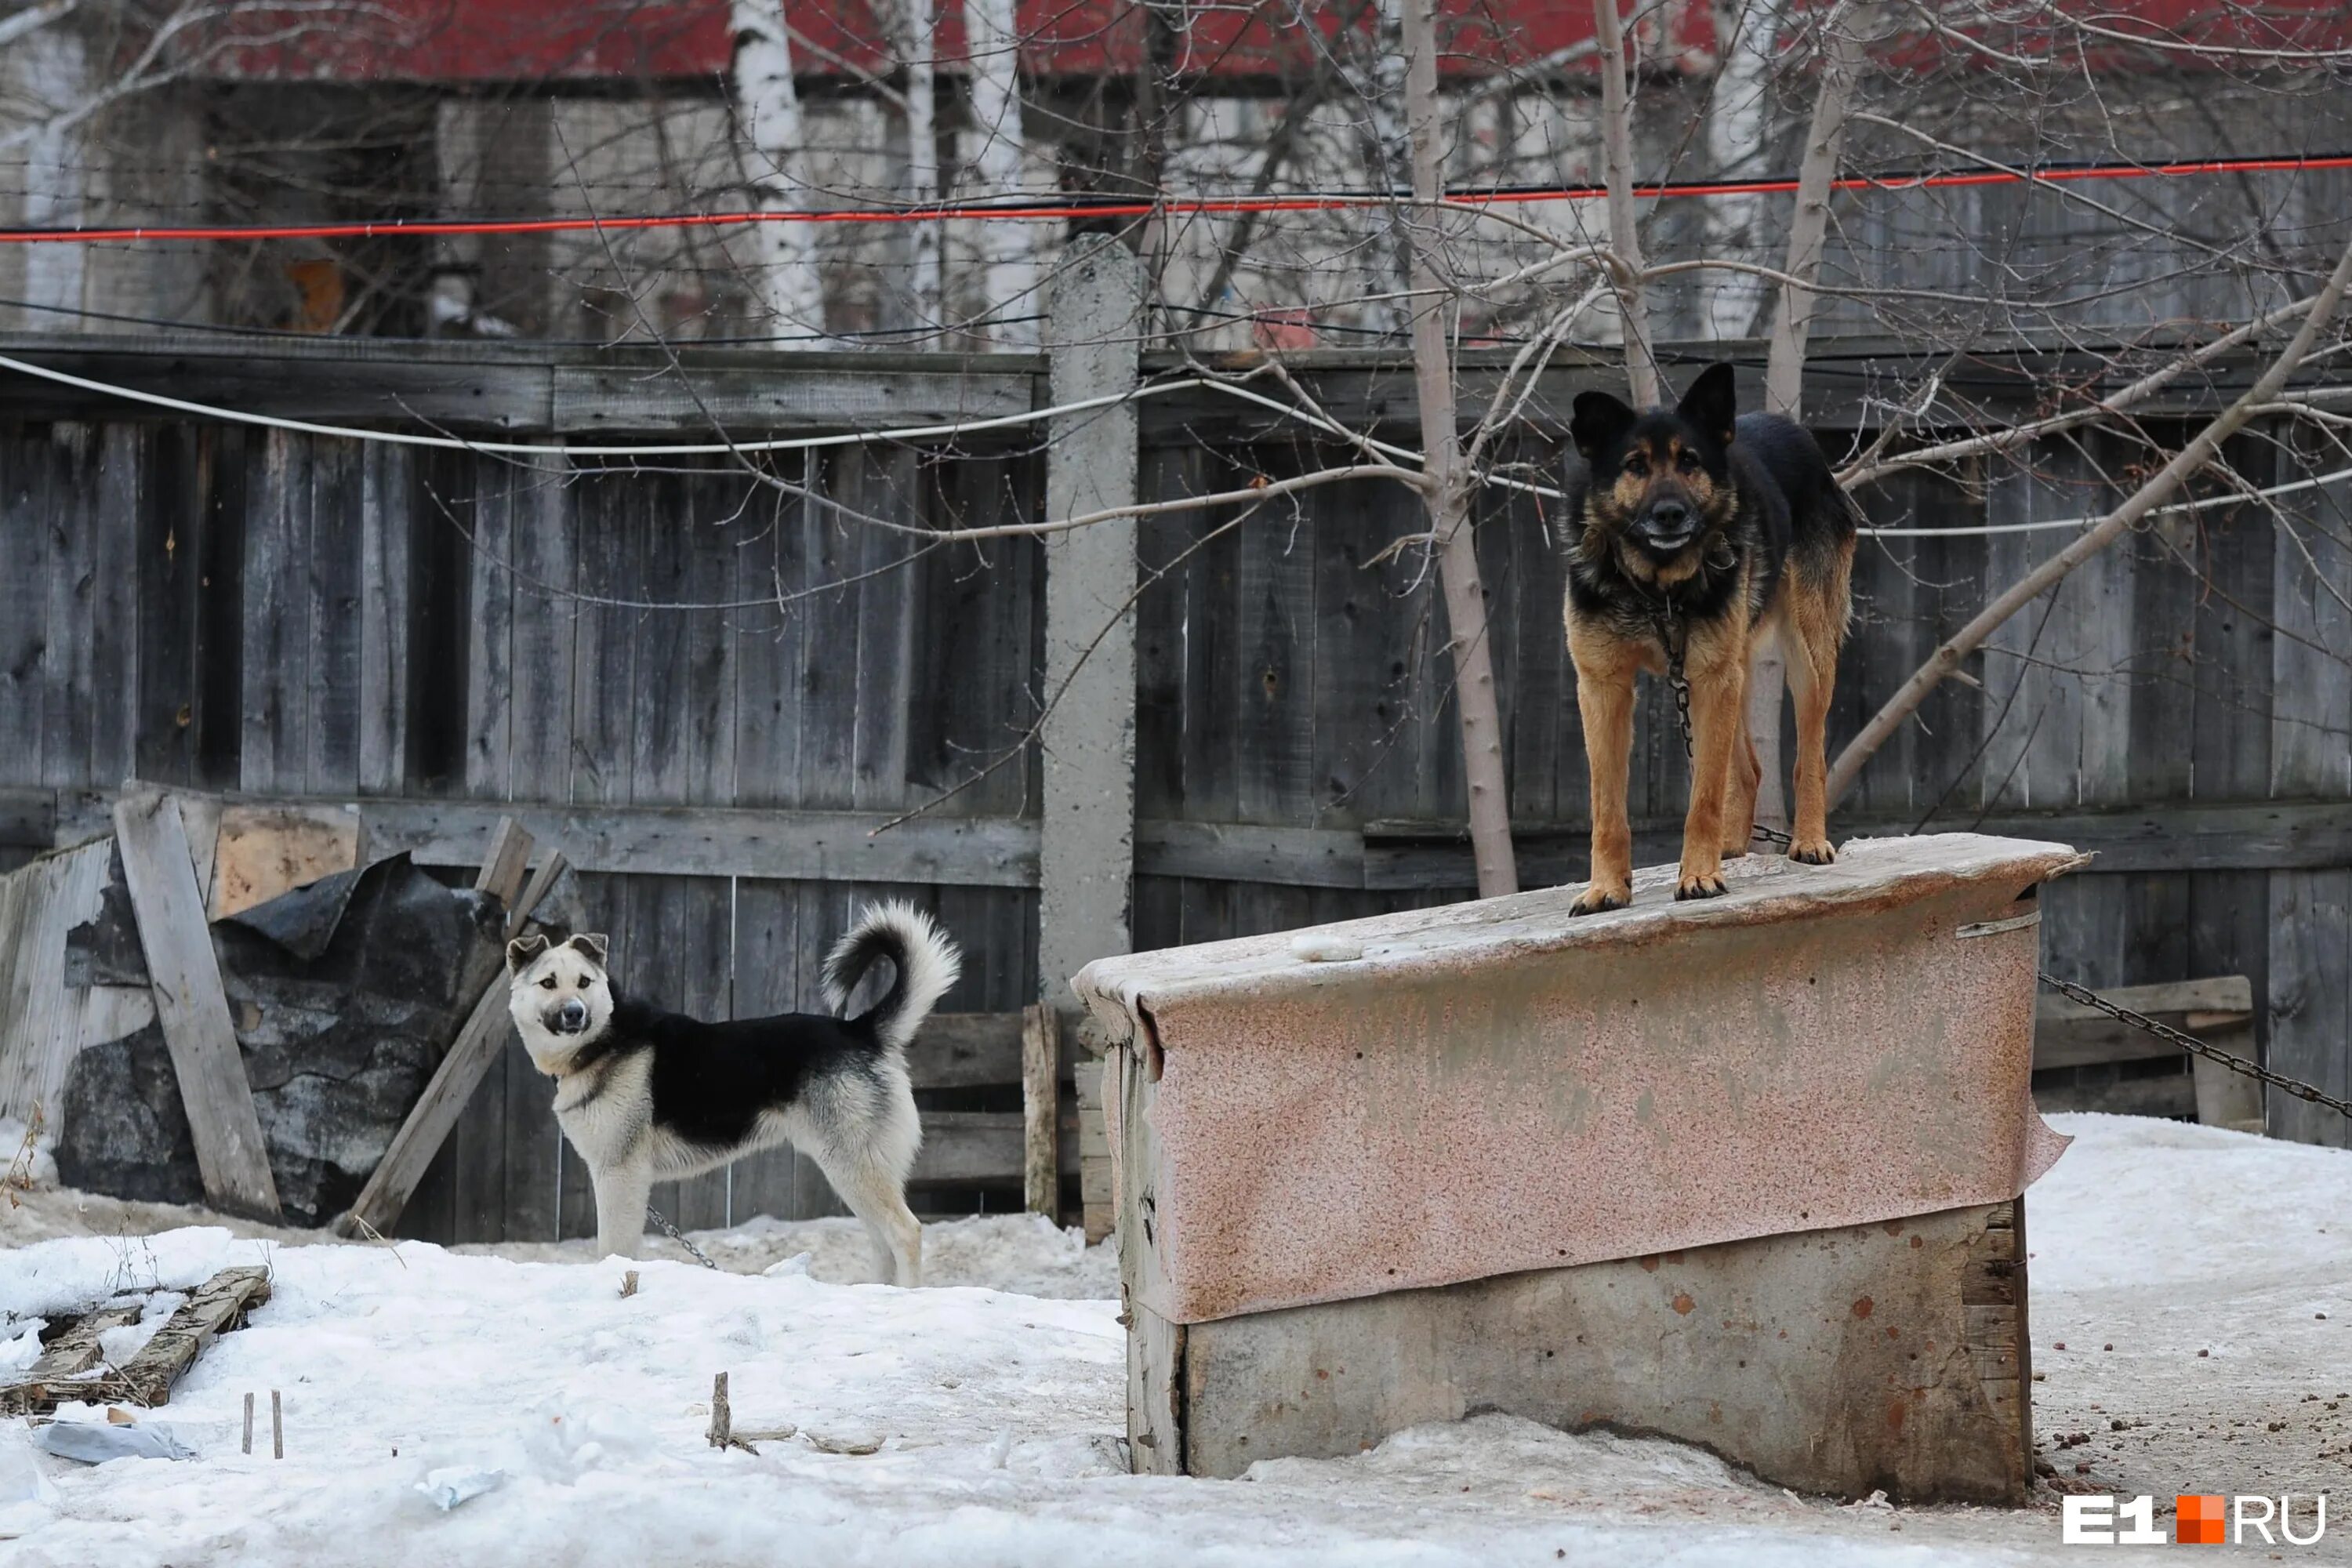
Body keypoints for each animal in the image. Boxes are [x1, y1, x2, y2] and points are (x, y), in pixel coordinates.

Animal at [506, 902, 955, 1279]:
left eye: (584, 982)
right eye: (548, 983)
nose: (575, 1013)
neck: (603, 1040)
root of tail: (860, 1030)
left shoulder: (619, 1174)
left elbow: (615, 1248)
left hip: (853, 1163)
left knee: (905, 1233)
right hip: (852, 1169)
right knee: (881, 1243)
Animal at [1562, 359, 1853, 912]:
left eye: (1690, 461)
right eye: (1635, 465)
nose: (1670, 514)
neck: (1656, 587)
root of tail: (1795, 432)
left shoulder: (1710, 677)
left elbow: (1704, 797)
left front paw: (1698, 875)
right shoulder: (1604, 687)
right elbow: (1606, 808)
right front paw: (1606, 887)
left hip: (1804, 657)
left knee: (1809, 756)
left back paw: (1808, 839)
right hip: (1729, 670)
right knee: (1750, 768)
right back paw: (1732, 844)